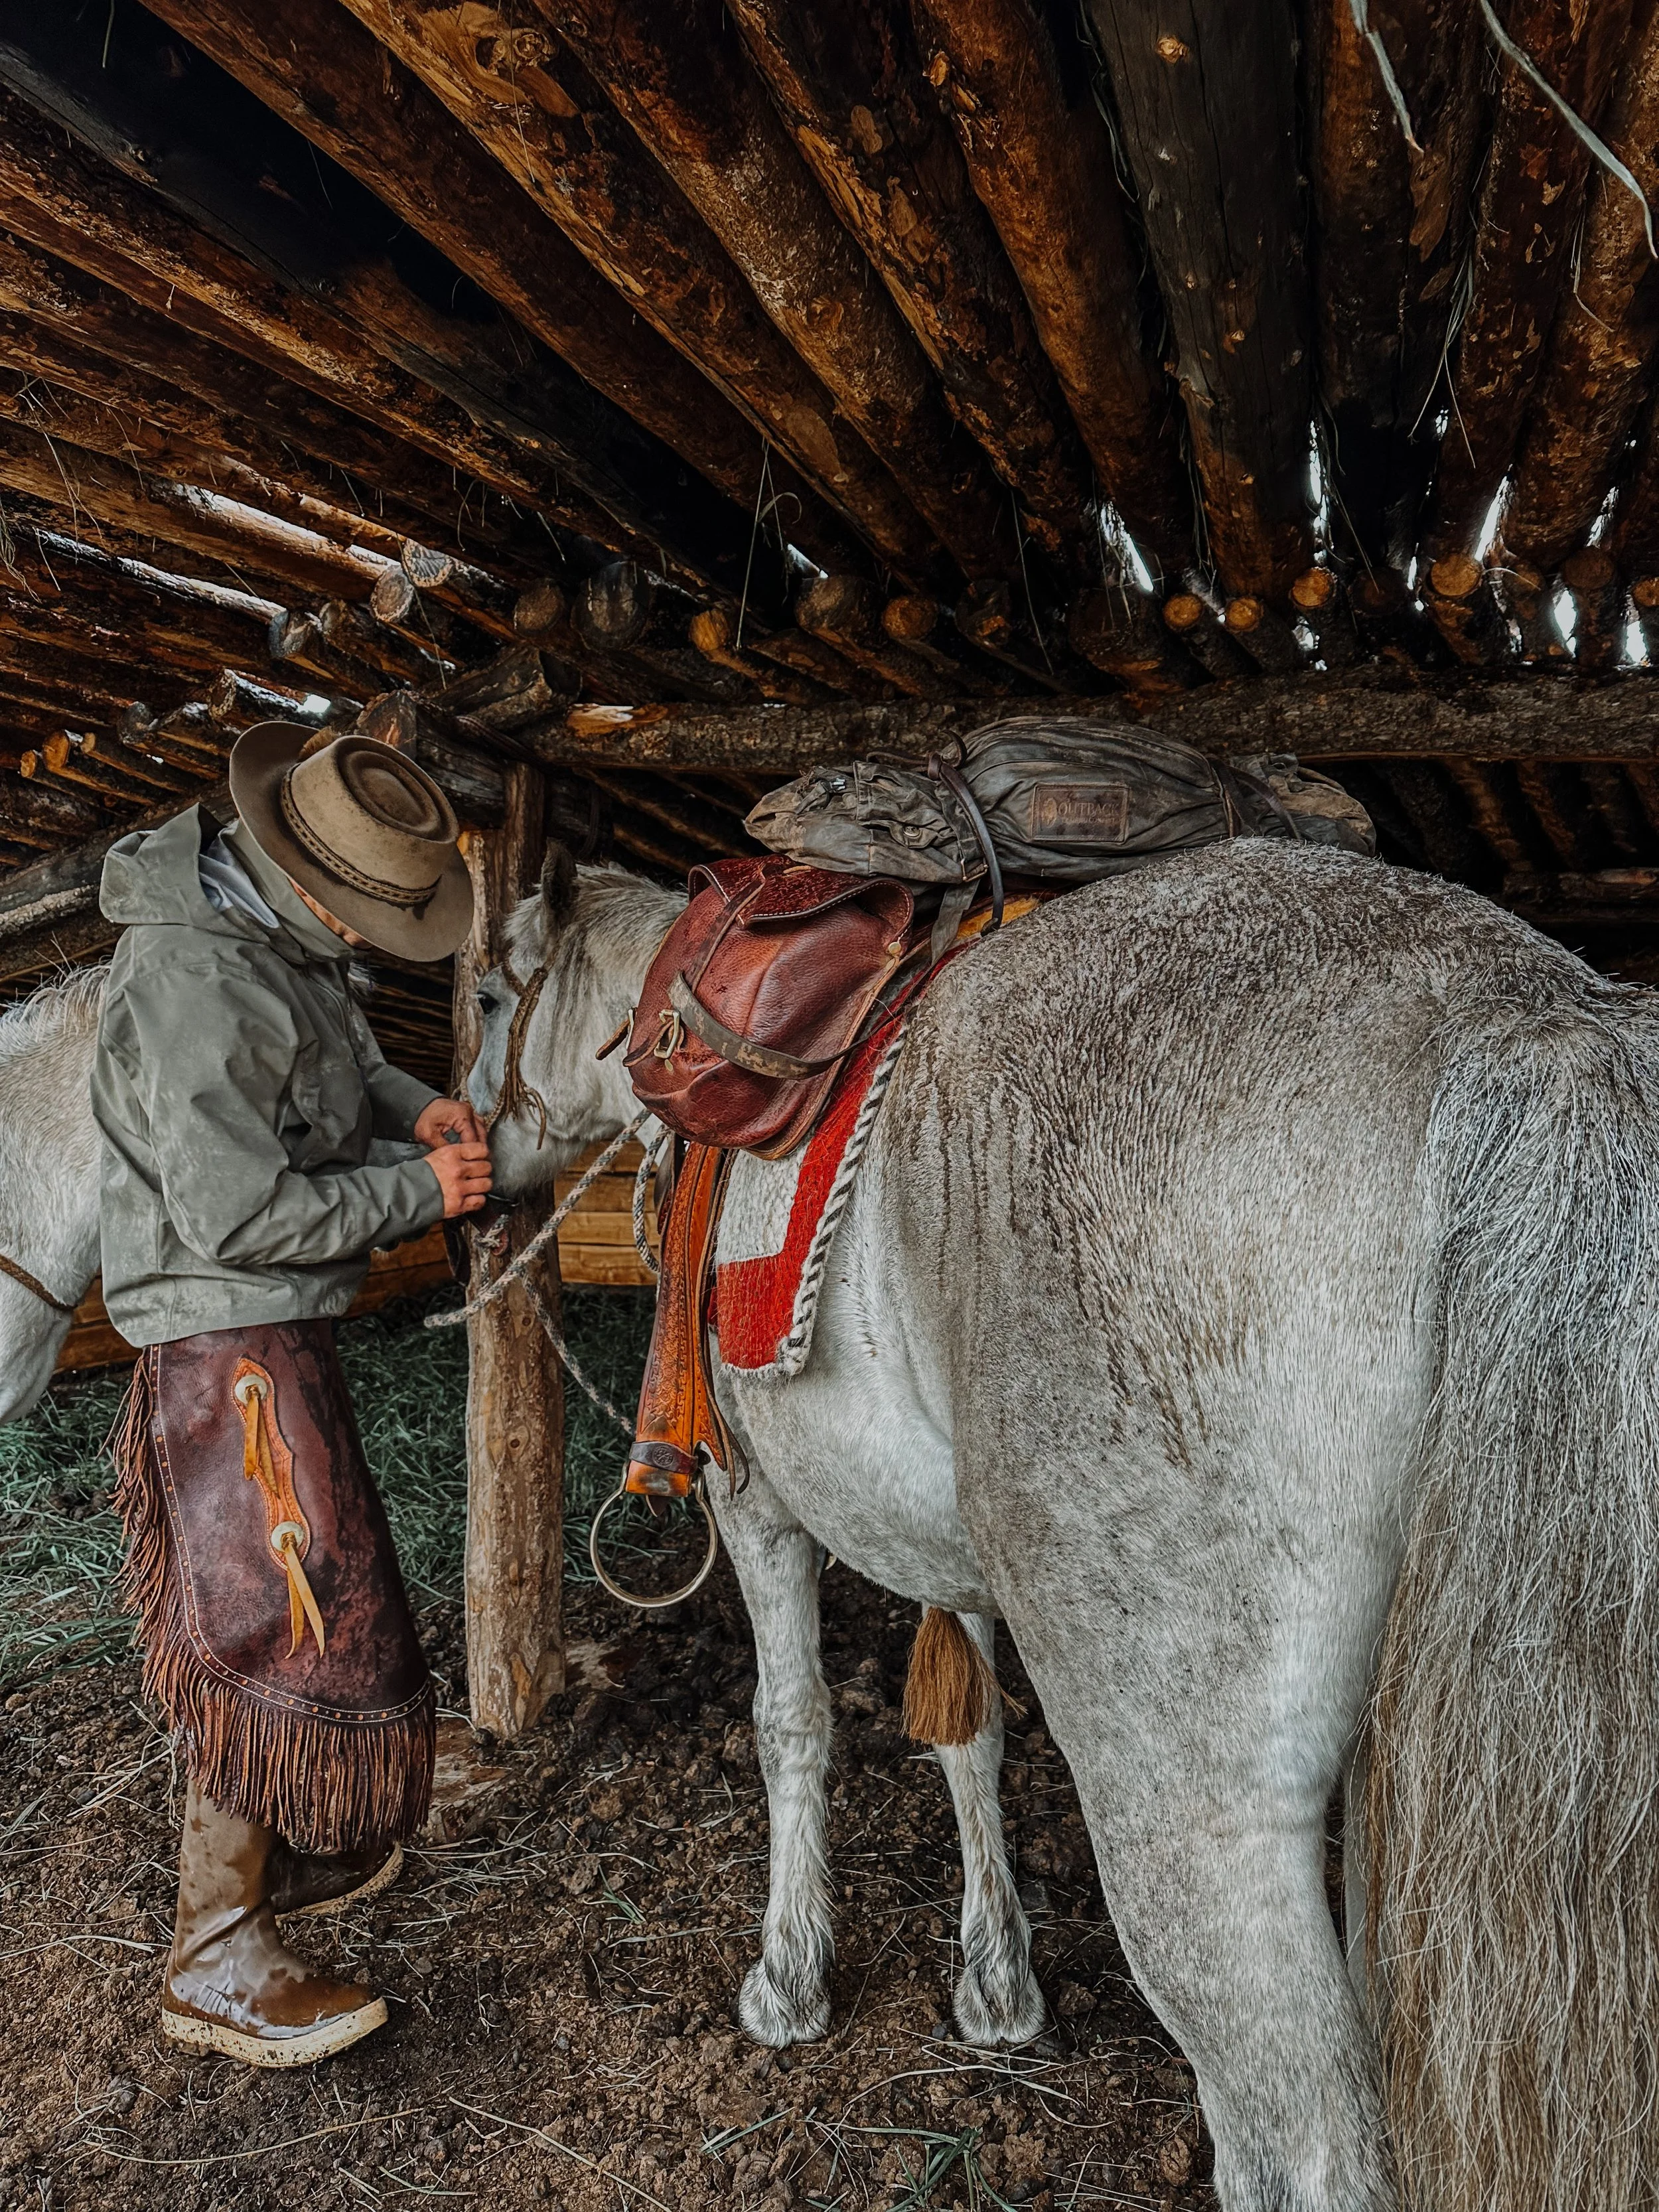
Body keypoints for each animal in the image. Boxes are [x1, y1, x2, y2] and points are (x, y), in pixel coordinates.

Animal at [471, 840, 1659, 2212]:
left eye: (490, 996)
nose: (473, 1175)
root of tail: (1525, 1022)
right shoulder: (951, 1546)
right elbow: (968, 1734)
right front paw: (996, 1981)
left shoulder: (756, 1504)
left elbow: (791, 1724)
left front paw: (789, 1976)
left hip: (1191, 1817)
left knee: (1301, 2139)